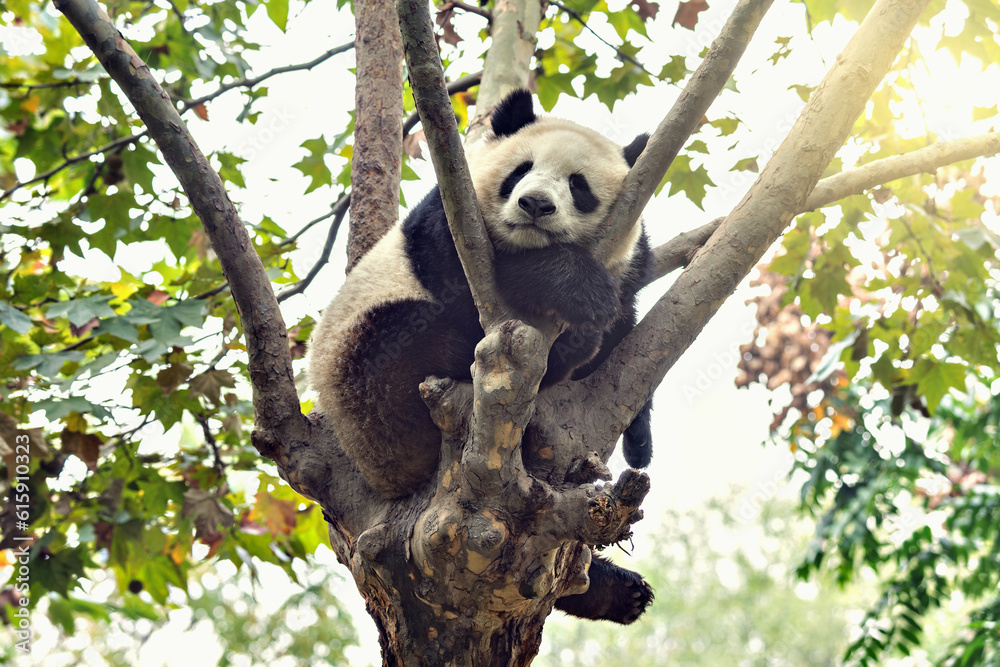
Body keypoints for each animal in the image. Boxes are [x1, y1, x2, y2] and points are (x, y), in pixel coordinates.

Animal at [308, 89, 655, 623]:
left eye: (578, 186)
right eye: (521, 169)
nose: (535, 204)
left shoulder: (630, 264)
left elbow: (626, 325)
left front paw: (640, 433)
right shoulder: (451, 218)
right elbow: (466, 275)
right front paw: (577, 291)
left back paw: (616, 590)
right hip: (363, 382)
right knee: (412, 344)